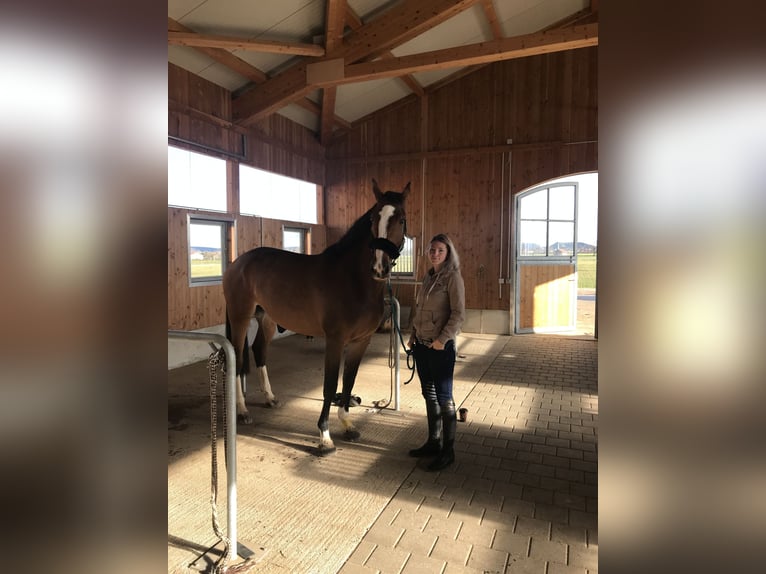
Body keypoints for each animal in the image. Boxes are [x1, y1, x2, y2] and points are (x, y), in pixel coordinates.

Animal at [225, 178, 412, 456]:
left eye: (401, 219)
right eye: (373, 219)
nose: (379, 267)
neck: (353, 280)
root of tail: (238, 263)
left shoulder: (361, 341)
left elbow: (348, 382)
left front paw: (347, 425)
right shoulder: (335, 340)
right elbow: (330, 385)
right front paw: (324, 436)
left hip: (267, 319)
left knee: (259, 350)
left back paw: (270, 398)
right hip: (240, 317)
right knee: (238, 357)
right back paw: (243, 411)